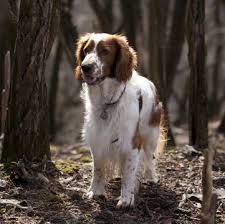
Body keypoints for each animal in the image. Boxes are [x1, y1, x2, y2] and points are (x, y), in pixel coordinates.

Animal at [75, 32, 165, 208]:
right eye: (86, 50)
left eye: (105, 51)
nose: (85, 66)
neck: (107, 103)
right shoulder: (97, 139)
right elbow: (98, 169)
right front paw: (96, 191)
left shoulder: (132, 142)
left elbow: (129, 173)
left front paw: (126, 198)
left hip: (151, 134)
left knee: (150, 157)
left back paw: (151, 177)